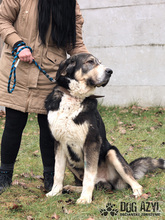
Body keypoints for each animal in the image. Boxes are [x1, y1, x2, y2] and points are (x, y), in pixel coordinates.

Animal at [44, 53, 164, 205]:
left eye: (100, 62)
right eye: (90, 62)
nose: (110, 71)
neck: (74, 98)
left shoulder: (91, 142)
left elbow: (89, 175)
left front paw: (85, 198)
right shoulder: (59, 144)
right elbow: (58, 172)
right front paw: (55, 192)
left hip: (112, 153)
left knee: (131, 180)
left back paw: (137, 191)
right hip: (71, 159)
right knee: (94, 184)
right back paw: (71, 188)